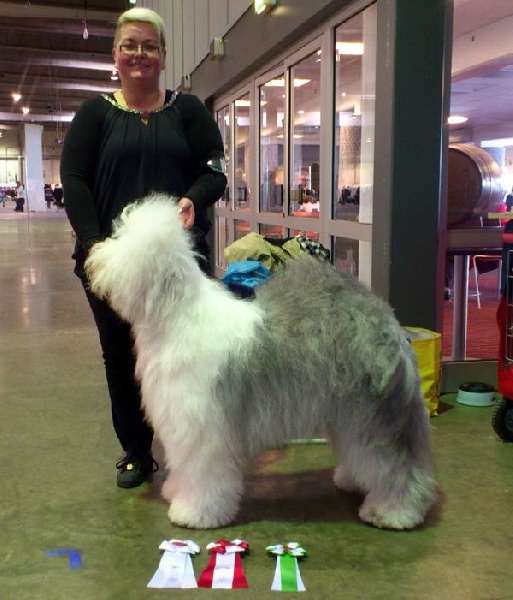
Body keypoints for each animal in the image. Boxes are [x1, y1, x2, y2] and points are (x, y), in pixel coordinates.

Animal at [85, 194, 436, 530]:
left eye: (122, 240)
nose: (93, 255)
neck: (175, 318)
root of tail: (384, 315)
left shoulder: (202, 427)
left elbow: (203, 473)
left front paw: (195, 512)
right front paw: (175, 491)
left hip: (372, 412)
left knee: (395, 465)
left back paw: (393, 512)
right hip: (346, 416)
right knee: (364, 454)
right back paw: (352, 480)